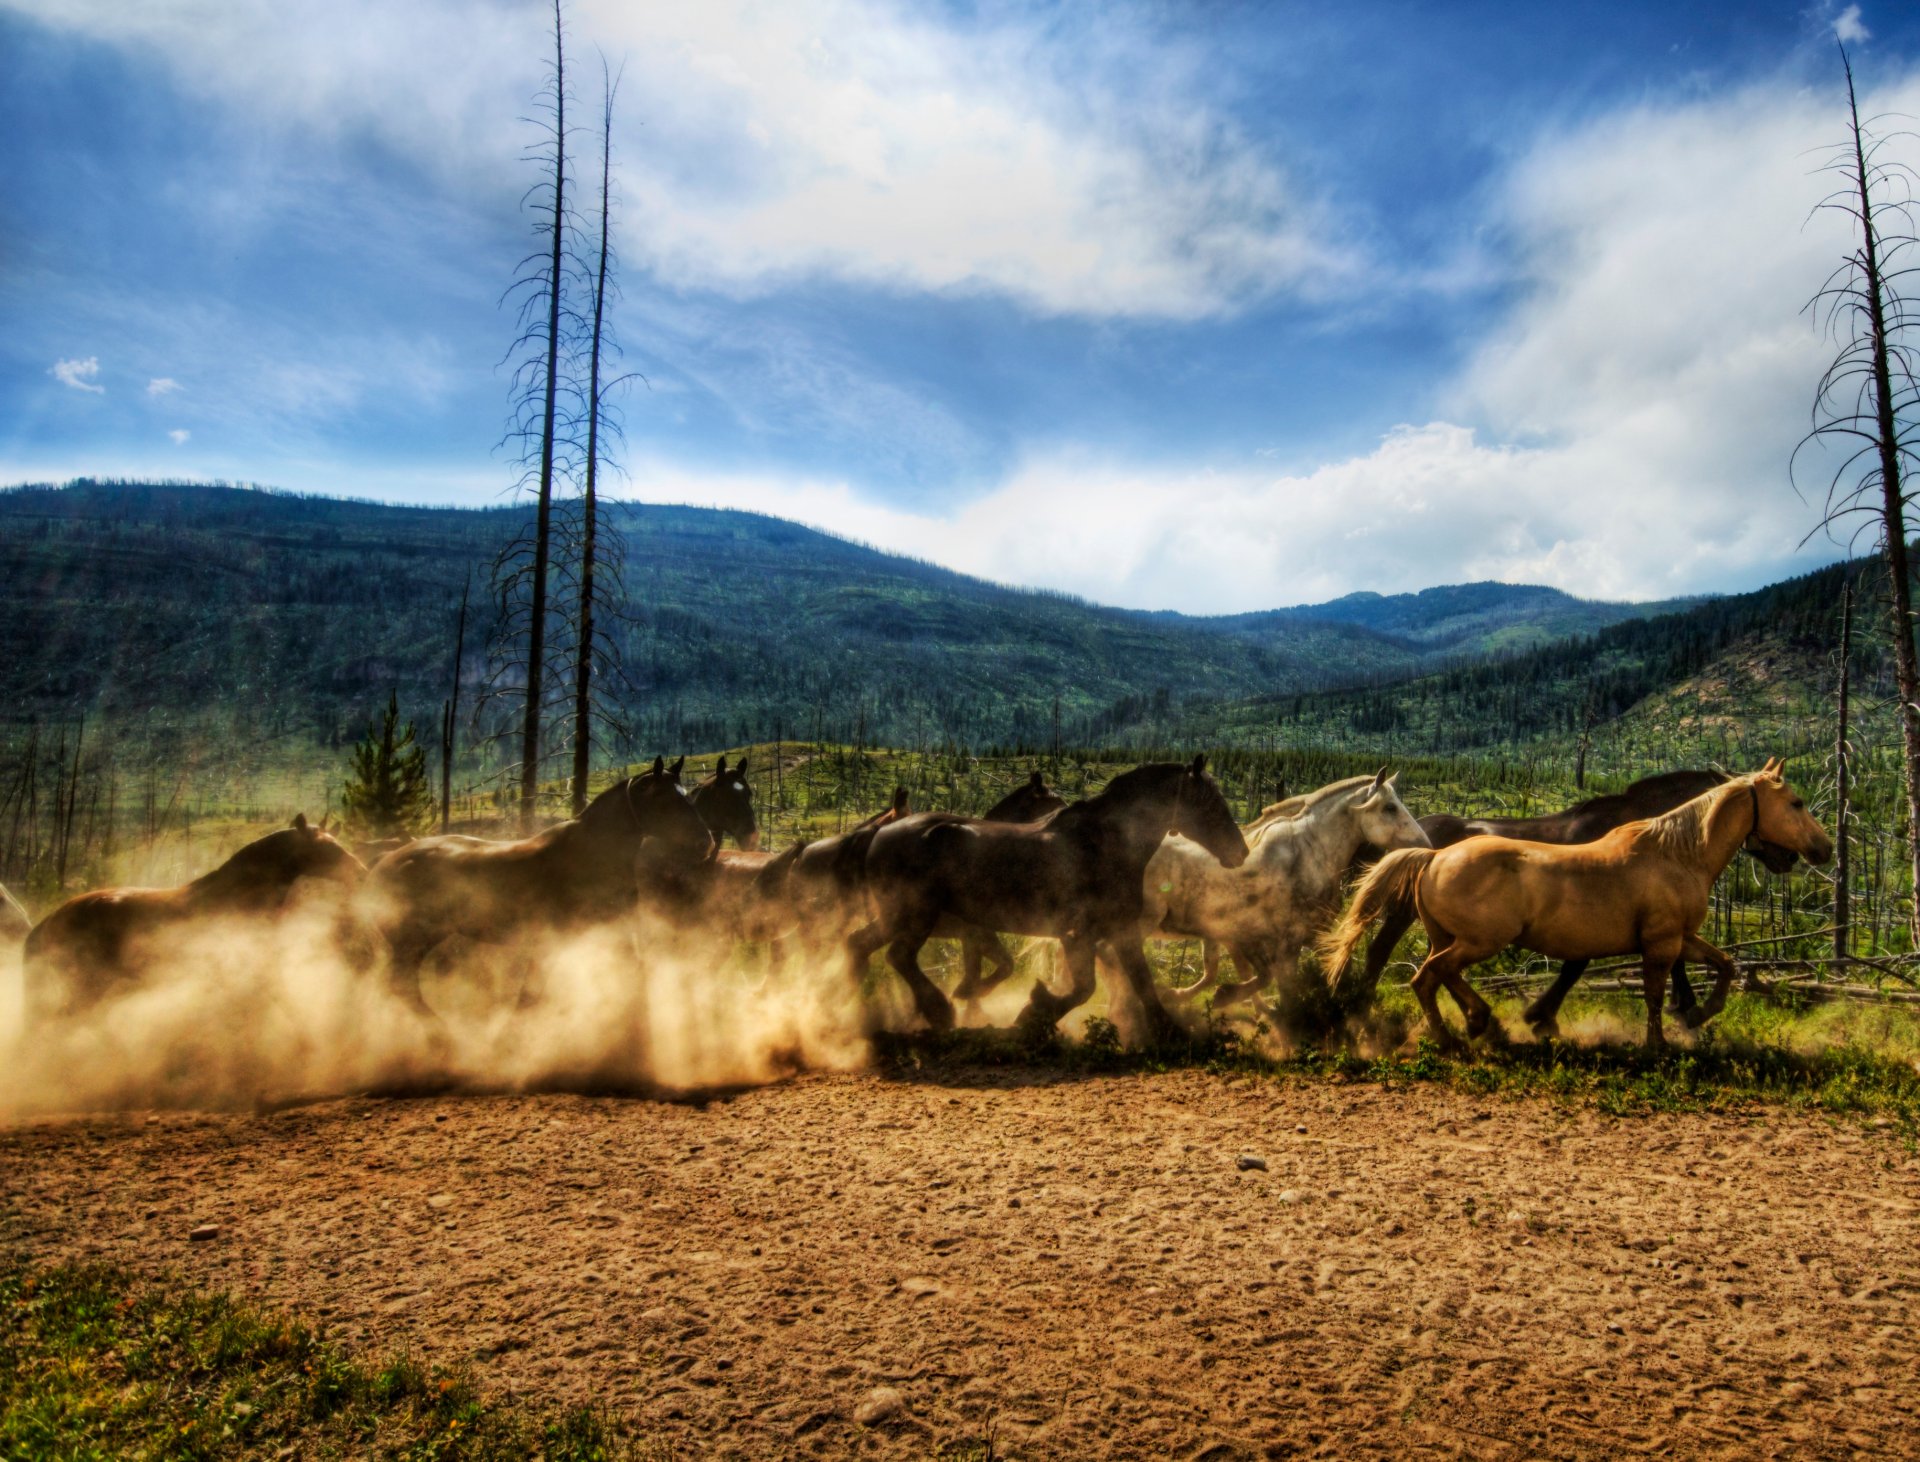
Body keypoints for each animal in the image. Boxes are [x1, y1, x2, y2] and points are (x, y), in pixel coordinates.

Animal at [366, 753, 714, 1006]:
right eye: (664, 799)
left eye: (688, 796)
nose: (705, 843)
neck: (592, 854)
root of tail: (387, 861)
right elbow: (531, 996)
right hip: (409, 942)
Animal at [856, 756, 1244, 1045]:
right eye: (1211, 803)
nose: (1239, 851)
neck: (1104, 845)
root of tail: (881, 835)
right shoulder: (1078, 934)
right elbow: (1084, 988)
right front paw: (1033, 1014)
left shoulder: (1120, 931)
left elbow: (1143, 984)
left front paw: (1171, 1032)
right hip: (915, 916)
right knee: (898, 956)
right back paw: (938, 1010)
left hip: (896, 917)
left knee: (859, 944)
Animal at [1320, 764, 1827, 1052]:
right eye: (1797, 802)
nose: (1821, 850)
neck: (1674, 850)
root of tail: (1429, 853)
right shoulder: (1656, 936)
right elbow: (1647, 984)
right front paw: (1668, 1031)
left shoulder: (1672, 934)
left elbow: (1722, 964)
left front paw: (1697, 1014)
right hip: (1473, 937)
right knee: (1411, 968)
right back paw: (1425, 1026)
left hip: (1450, 936)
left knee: (1436, 971)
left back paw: (1477, 1023)